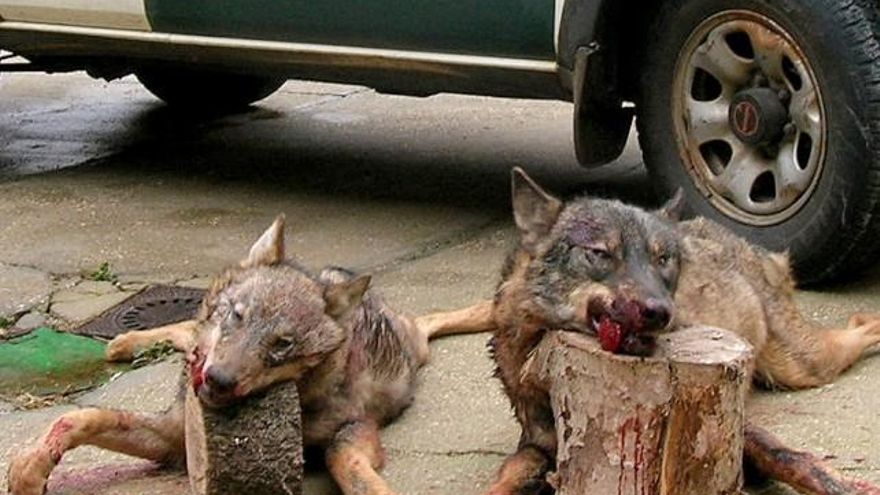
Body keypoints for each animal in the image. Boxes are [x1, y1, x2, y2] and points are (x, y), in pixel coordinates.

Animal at [7, 215, 480, 495]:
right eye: (238, 315)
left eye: (282, 345)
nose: (216, 380)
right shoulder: (171, 435)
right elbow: (79, 418)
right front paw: (30, 468)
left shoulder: (356, 429)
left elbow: (349, 465)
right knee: (184, 330)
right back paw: (124, 343)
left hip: (415, 342)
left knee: (440, 316)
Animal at [418, 168, 880, 495]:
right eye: (600, 253)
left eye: (663, 259)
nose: (661, 313)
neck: (540, 359)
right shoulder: (537, 445)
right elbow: (505, 476)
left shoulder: (745, 429)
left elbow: (796, 460)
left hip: (803, 365)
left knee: (859, 327)